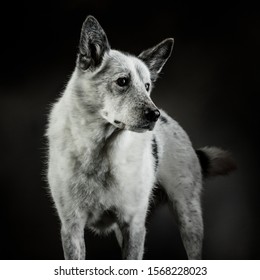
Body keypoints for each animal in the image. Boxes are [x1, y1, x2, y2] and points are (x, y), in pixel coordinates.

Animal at [45, 15, 237, 260]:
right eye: (122, 81)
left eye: (147, 86)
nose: (154, 114)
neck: (101, 151)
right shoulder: (72, 228)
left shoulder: (134, 225)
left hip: (188, 217)